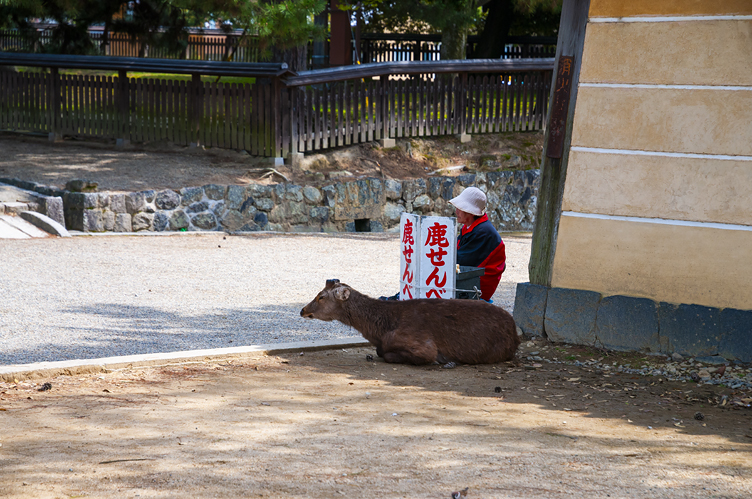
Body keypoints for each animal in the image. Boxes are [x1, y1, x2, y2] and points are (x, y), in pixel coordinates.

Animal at [298, 280, 516, 366]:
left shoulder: (423, 345)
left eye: (321, 297)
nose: (303, 310)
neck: (381, 330)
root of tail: (515, 333)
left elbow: (387, 354)